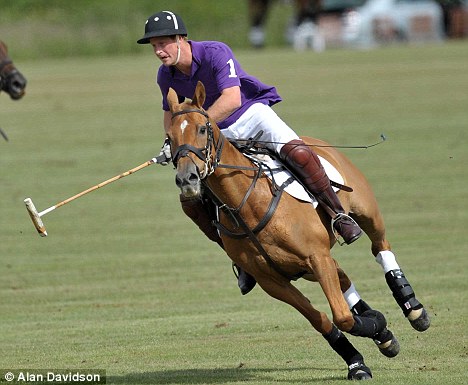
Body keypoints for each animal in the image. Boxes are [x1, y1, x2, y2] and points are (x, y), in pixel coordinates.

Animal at [165, 81, 428, 378]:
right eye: (169, 137)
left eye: (201, 128)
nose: (187, 178)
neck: (248, 202)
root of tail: (317, 142)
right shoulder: (273, 281)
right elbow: (322, 319)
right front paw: (361, 355)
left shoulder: (317, 257)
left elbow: (342, 316)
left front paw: (376, 325)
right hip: (306, 267)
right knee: (343, 276)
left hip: (366, 213)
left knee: (380, 246)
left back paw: (413, 308)